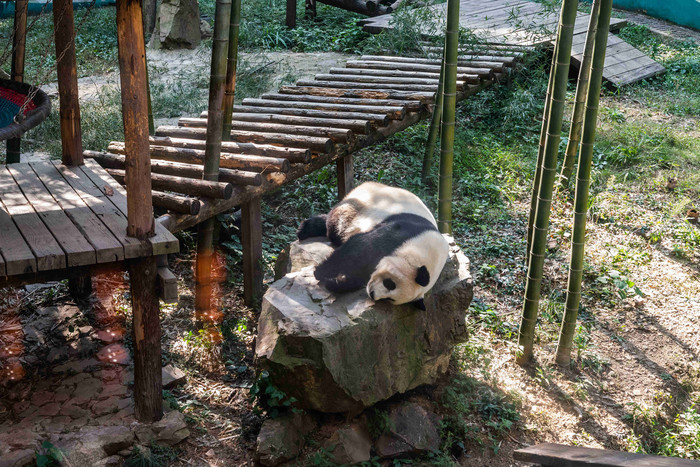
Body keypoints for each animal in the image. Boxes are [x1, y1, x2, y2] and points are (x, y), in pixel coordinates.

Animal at [296, 183, 448, 310]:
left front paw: (335, 282)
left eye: (390, 299)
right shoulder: (404, 233)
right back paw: (305, 229)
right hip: (357, 206)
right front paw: (320, 272)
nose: (373, 294)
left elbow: (362, 274)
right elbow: (361, 248)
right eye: (390, 283)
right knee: (334, 225)